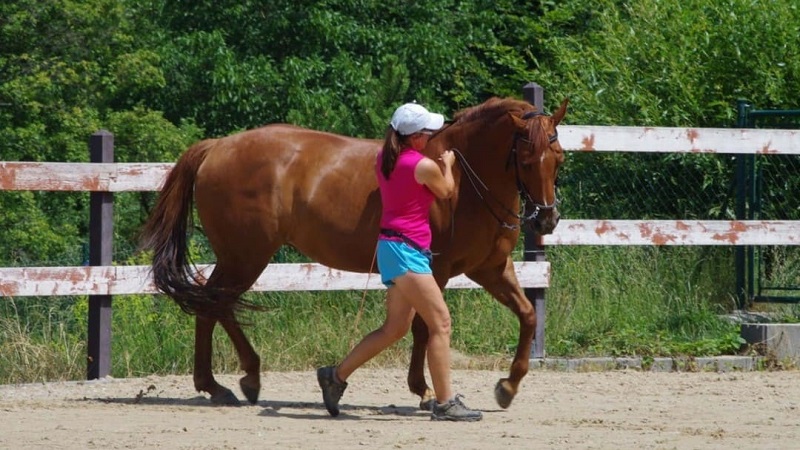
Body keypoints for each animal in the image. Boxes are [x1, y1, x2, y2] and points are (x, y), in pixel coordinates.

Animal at [141, 96, 564, 410]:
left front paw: (508, 386)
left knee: (214, 304)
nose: (546, 219)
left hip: (239, 258)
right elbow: (424, 327)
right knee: (215, 303)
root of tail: (218, 146)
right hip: (245, 257)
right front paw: (425, 390)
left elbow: (527, 315)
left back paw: (232, 381)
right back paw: (229, 382)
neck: (461, 179)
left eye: (558, 158)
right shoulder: (437, 269)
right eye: (527, 160)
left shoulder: (490, 268)